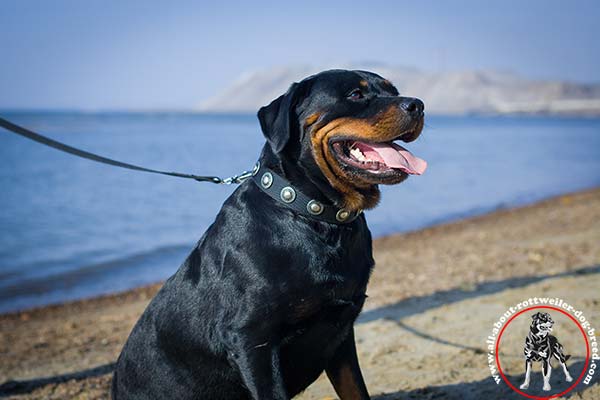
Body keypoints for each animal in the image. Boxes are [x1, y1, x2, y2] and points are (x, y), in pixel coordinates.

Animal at [109, 70, 426, 398]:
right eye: (355, 94)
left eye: (393, 91)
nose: (417, 105)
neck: (315, 216)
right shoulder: (252, 341)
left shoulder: (340, 333)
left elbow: (356, 391)